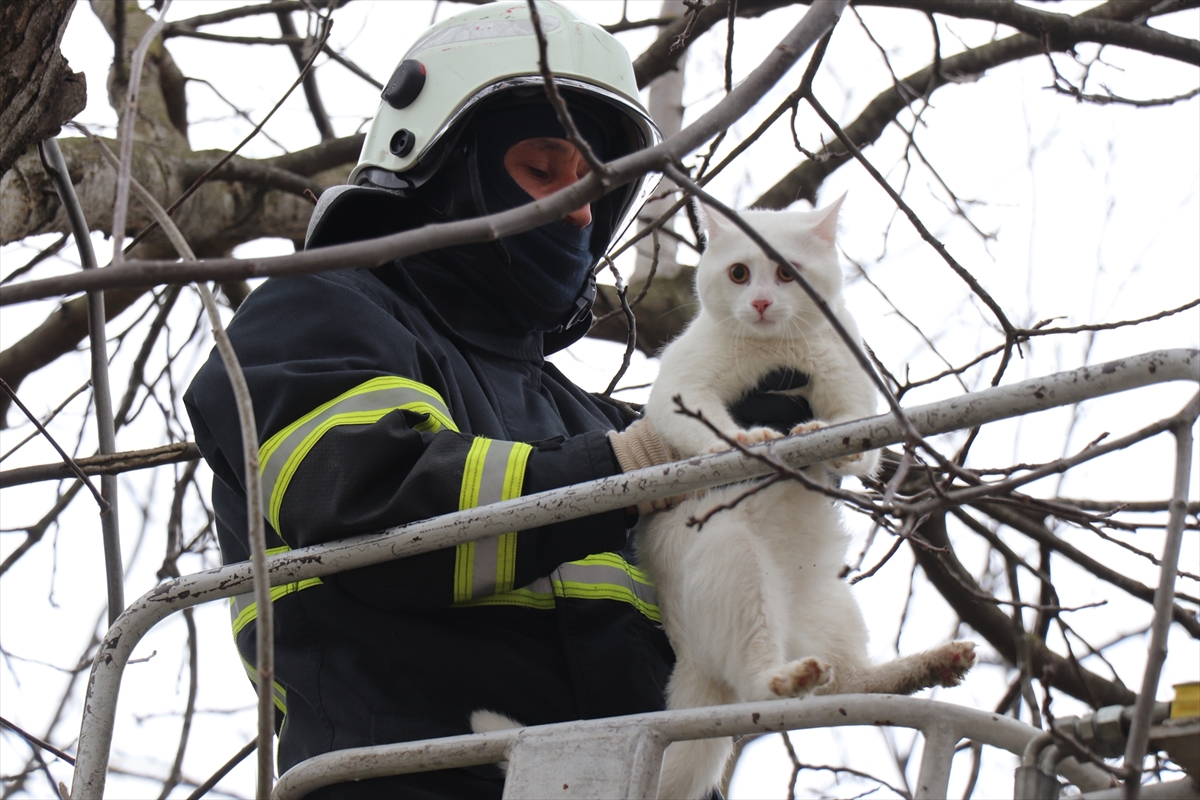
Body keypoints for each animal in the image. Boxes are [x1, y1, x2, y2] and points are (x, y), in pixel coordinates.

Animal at [638, 199, 974, 800]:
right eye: (740, 273)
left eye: (786, 272)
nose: (762, 302)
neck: (777, 351)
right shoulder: (679, 387)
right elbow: (701, 424)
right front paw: (744, 439)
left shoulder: (856, 393)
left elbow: (856, 443)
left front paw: (818, 434)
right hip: (732, 560)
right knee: (756, 686)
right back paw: (789, 675)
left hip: (832, 605)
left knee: (851, 683)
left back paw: (933, 664)